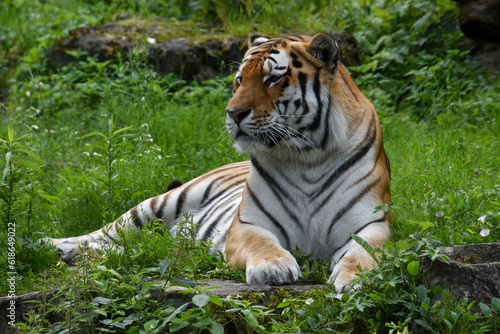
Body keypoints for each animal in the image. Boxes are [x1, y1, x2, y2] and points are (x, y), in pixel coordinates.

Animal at [46, 32, 390, 292]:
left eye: (272, 79)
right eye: (239, 80)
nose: (233, 113)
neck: (307, 156)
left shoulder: (372, 224)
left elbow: (365, 253)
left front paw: (356, 279)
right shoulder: (249, 224)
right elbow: (261, 244)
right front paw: (273, 266)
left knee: (123, 246)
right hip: (161, 203)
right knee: (106, 232)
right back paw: (56, 245)